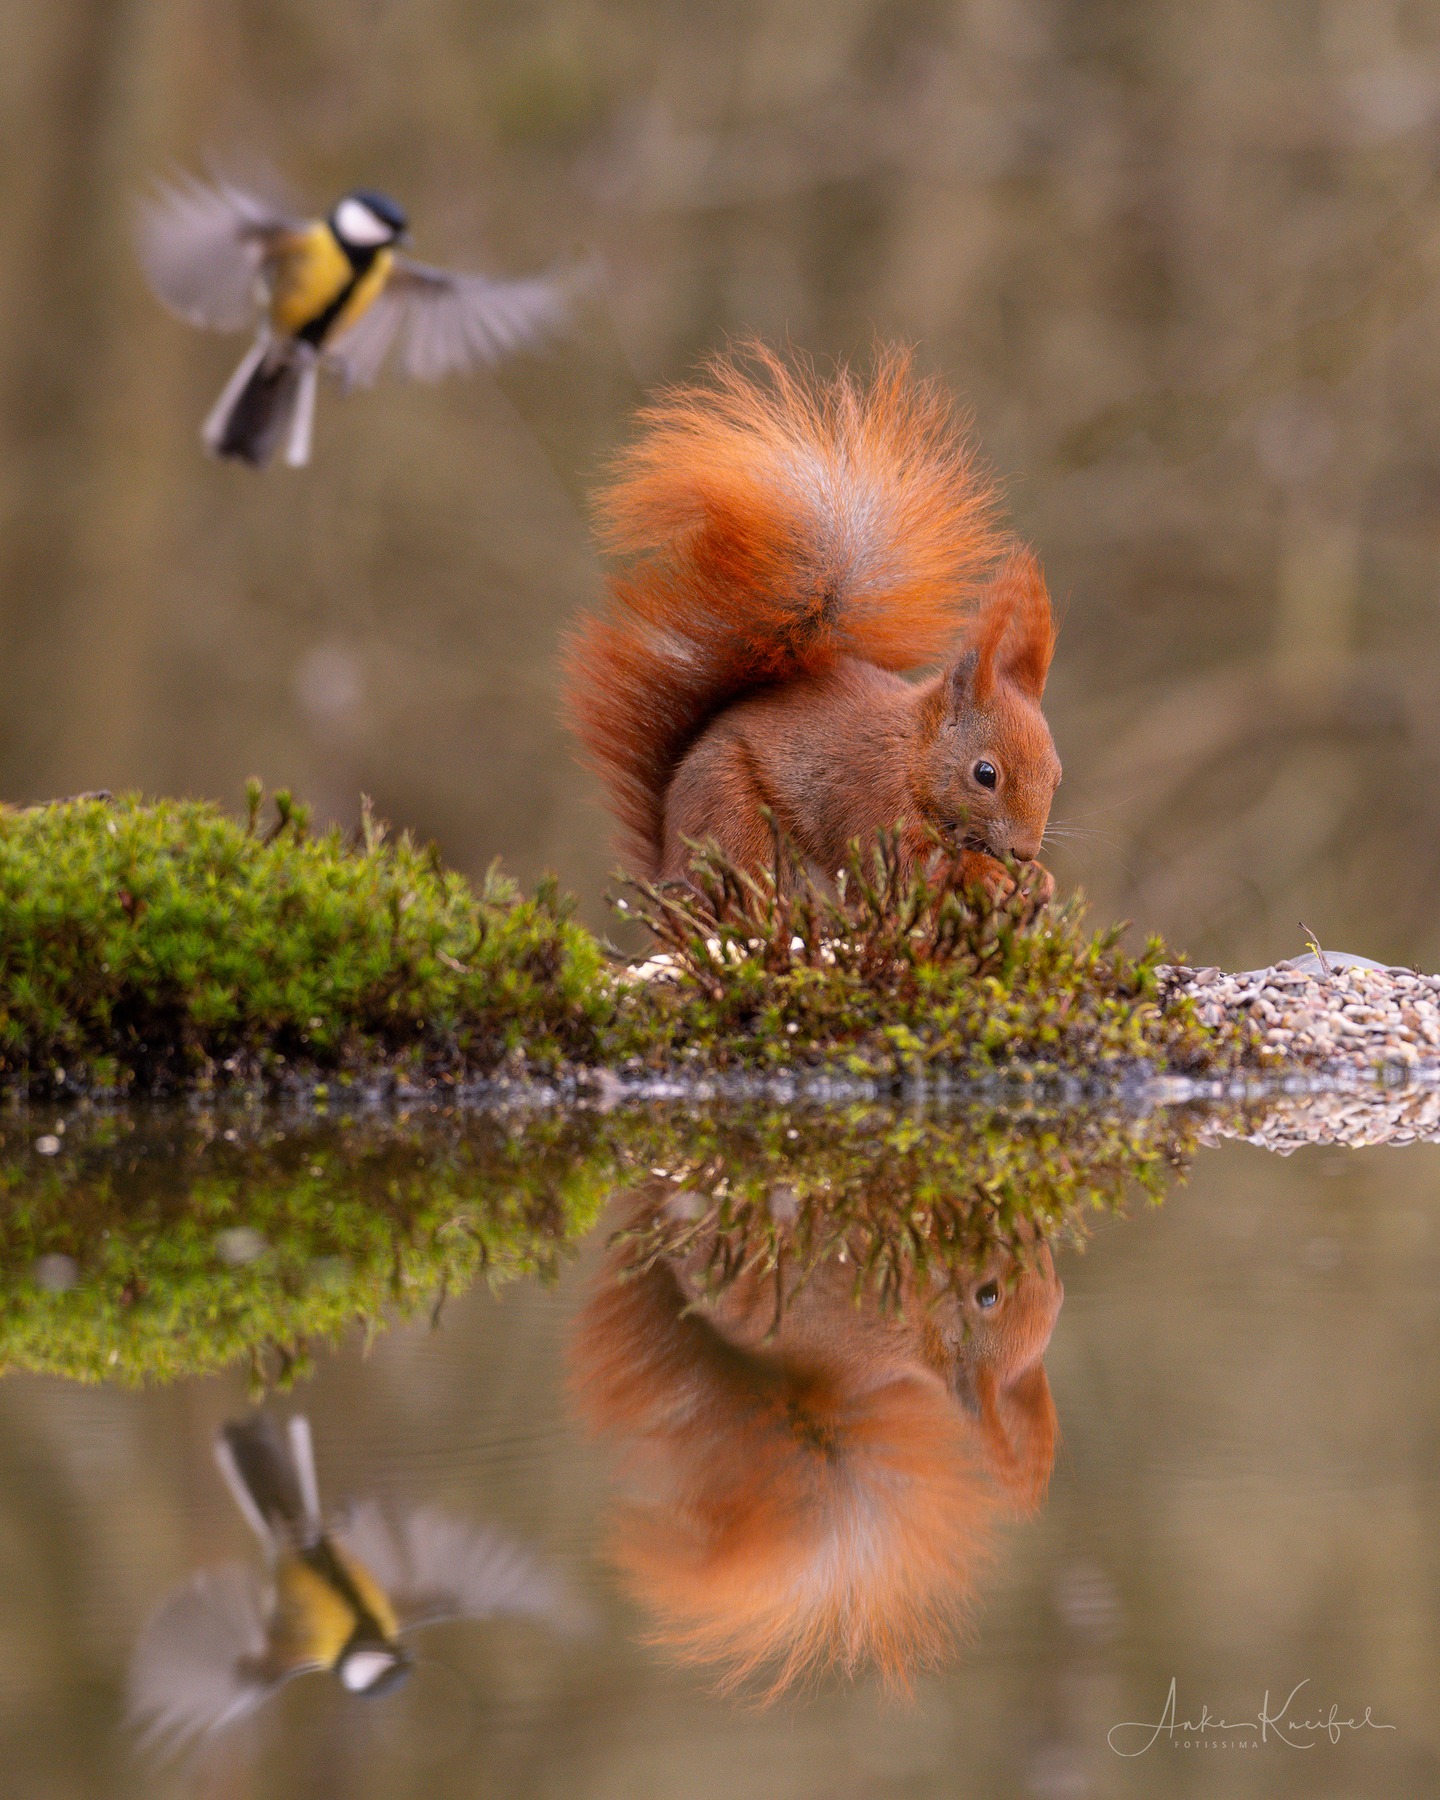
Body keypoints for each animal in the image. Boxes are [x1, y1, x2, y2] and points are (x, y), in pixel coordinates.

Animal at [563, 344, 1062, 896]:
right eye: (985, 774)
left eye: (1057, 775)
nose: (1023, 852)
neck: (912, 754)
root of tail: (668, 862)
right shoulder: (870, 796)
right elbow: (904, 866)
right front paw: (984, 872)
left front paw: (1039, 880)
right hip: (733, 815)